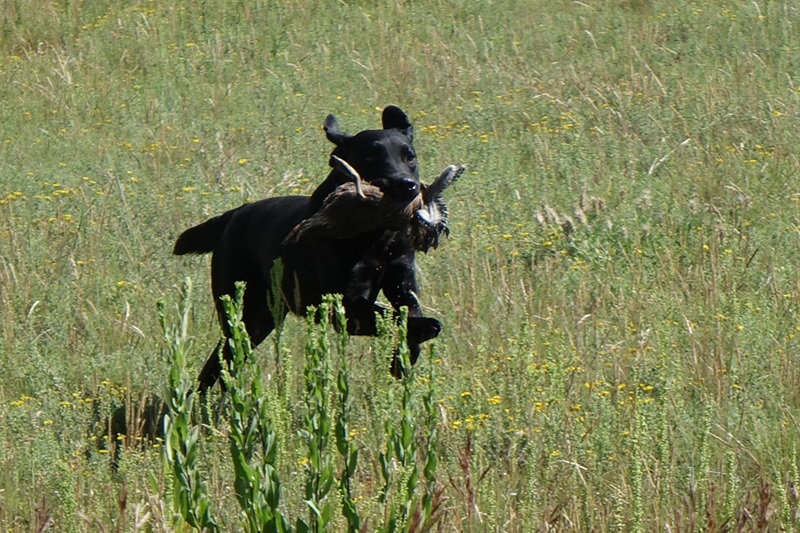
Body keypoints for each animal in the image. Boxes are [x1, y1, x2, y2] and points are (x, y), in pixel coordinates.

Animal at [174, 106, 444, 390]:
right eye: (370, 156)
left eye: (410, 156)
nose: (407, 185)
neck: (377, 236)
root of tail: (235, 214)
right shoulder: (346, 307)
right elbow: (393, 316)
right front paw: (423, 330)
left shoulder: (402, 280)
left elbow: (408, 308)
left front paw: (404, 356)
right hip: (240, 312)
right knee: (217, 364)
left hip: (262, 319)